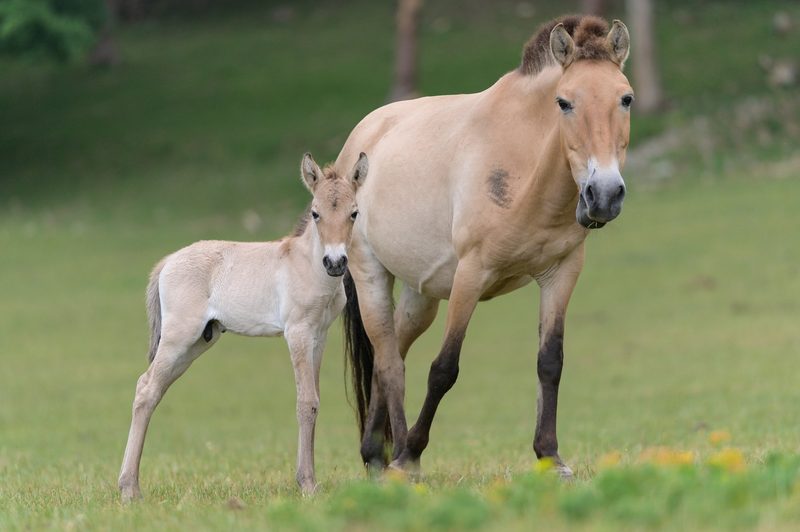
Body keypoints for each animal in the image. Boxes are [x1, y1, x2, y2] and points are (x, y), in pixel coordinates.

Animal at [118, 152, 369, 501]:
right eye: (316, 213)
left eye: (354, 213)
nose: (335, 263)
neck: (306, 264)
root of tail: (167, 261)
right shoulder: (297, 333)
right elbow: (305, 402)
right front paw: (307, 484)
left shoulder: (320, 335)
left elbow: (315, 399)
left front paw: (310, 481)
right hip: (179, 337)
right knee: (146, 390)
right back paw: (129, 489)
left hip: (198, 342)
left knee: (152, 389)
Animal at [337, 15, 634, 478]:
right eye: (564, 102)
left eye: (626, 98)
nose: (603, 195)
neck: (526, 168)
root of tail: (360, 136)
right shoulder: (471, 274)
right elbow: (444, 369)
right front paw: (413, 452)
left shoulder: (562, 273)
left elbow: (550, 362)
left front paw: (551, 456)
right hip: (371, 276)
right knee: (389, 363)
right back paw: (399, 457)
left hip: (420, 296)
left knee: (394, 352)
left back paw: (375, 455)